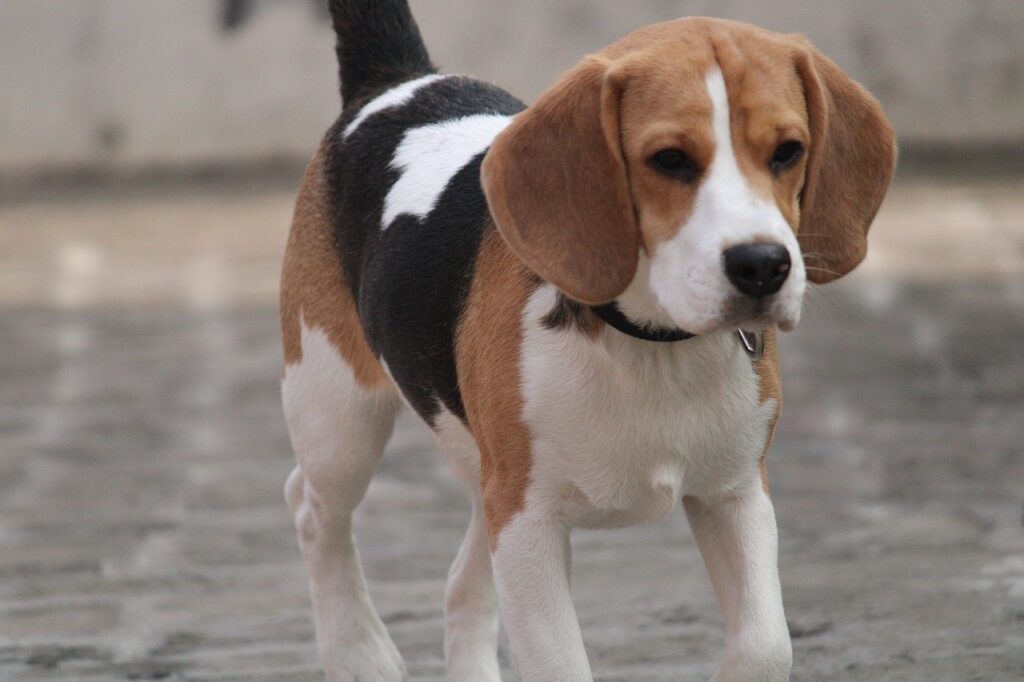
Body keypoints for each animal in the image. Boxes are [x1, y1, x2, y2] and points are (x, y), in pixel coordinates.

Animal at [280, 2, 897, 675]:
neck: (651, 345)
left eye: (788, 152)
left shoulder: (735, 494)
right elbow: (560, 663)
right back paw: (360, 655)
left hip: (479, 468)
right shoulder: (527, 522)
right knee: (311, 508)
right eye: (670, 159)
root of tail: (397, 81)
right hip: (339, 416)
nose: (762, 266)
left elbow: (766, 646)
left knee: (458, 579)